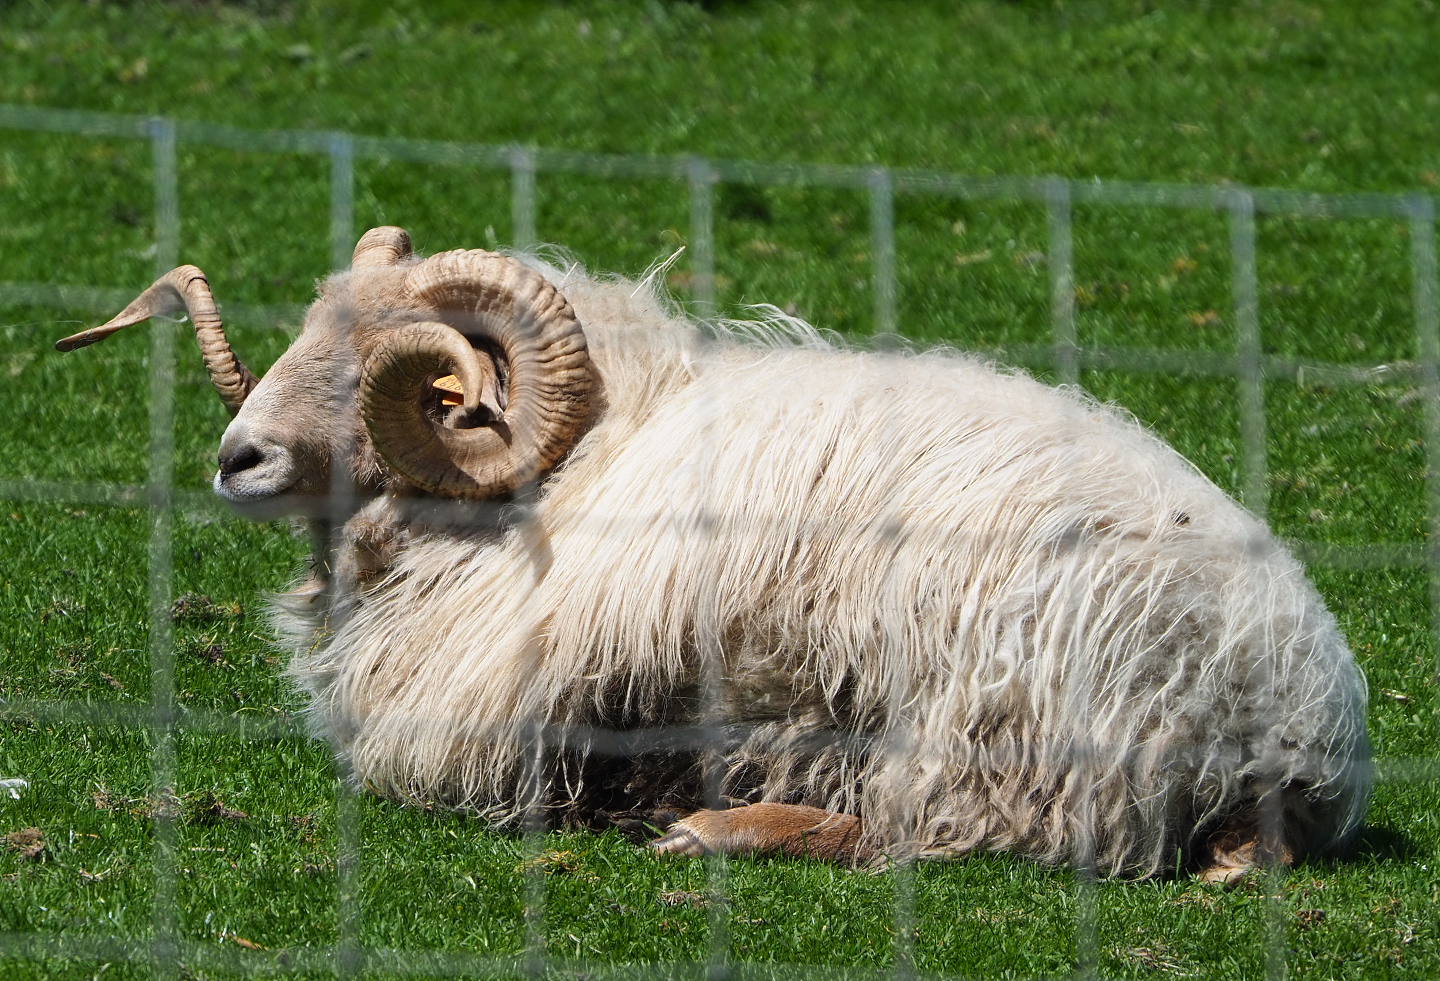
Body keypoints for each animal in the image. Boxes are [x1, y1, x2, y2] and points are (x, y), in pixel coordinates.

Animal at [57, 225, 1371, 882]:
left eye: (407, 375)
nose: (237, 457)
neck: (583, 459)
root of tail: (1299, 721)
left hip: (989, 729)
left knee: (938, 833)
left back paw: (718, 828)